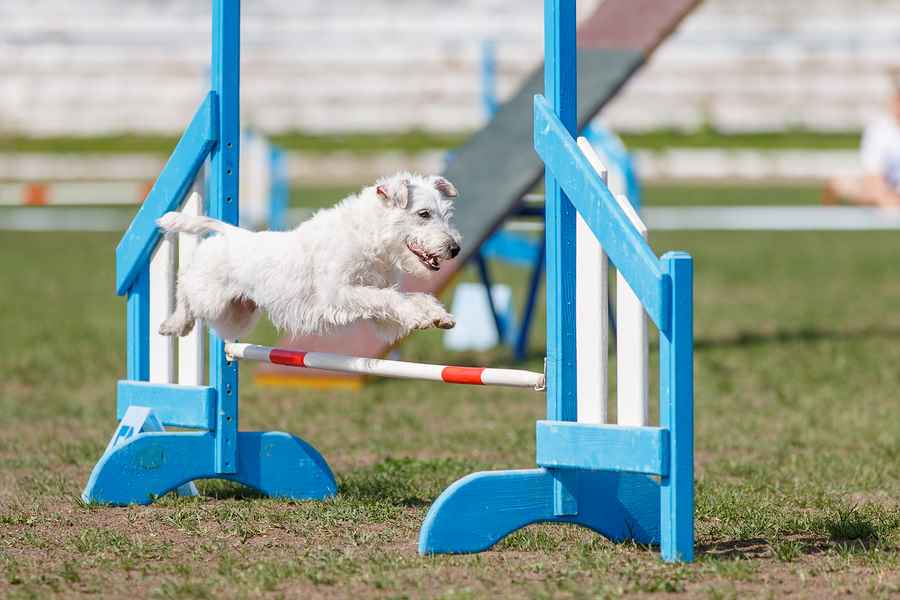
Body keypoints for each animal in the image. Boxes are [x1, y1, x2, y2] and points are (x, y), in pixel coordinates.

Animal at [155, 171, 460, 344]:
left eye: (447, 214)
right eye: (423, 213)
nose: (455, 248)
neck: (368, 237)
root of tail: (229, 233)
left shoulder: (379, 313)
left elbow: (407, 298)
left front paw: (436, 315)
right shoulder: (338, 293)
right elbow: (390, 298)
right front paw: (419, 316)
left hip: (235, 317)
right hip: (212, 301)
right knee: (185, 295)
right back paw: (174, 324)